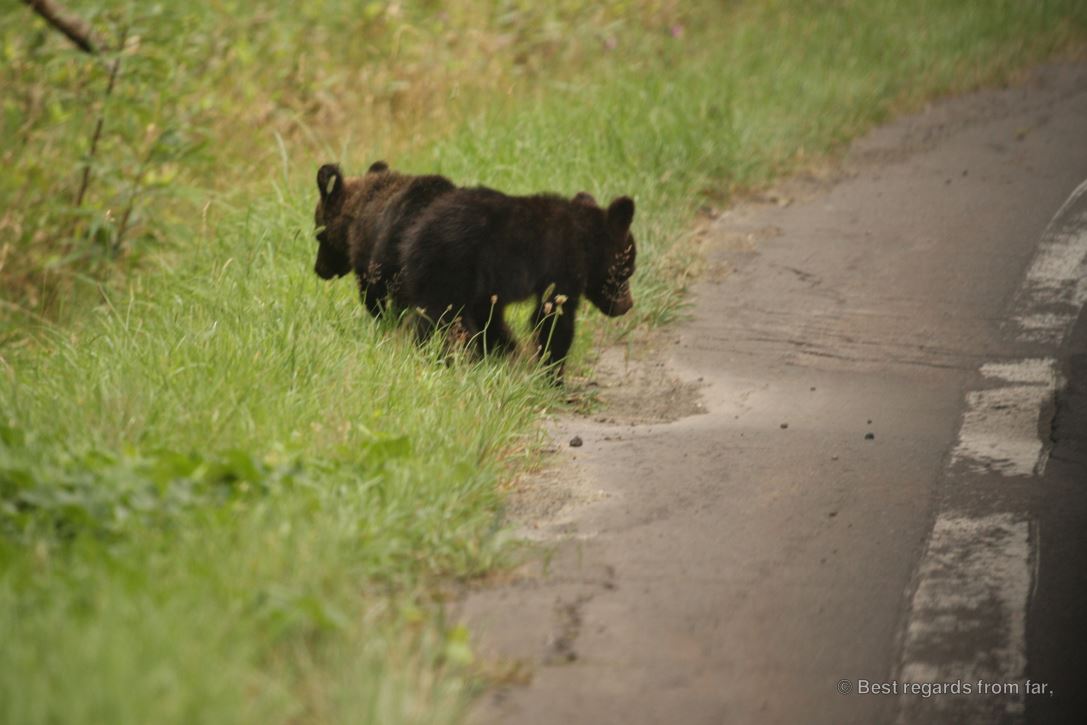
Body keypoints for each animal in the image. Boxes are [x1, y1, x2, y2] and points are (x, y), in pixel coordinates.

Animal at [401, 186, 637, 381]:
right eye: (628, 271)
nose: (628, 305)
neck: (585, 241)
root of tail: (415, 238)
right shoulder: (561, 265)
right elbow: (554, 318)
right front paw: (554, 375)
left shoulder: (490, 290)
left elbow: (492, 318)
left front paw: (503, 351)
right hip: (453, 268)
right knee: (445, 318)